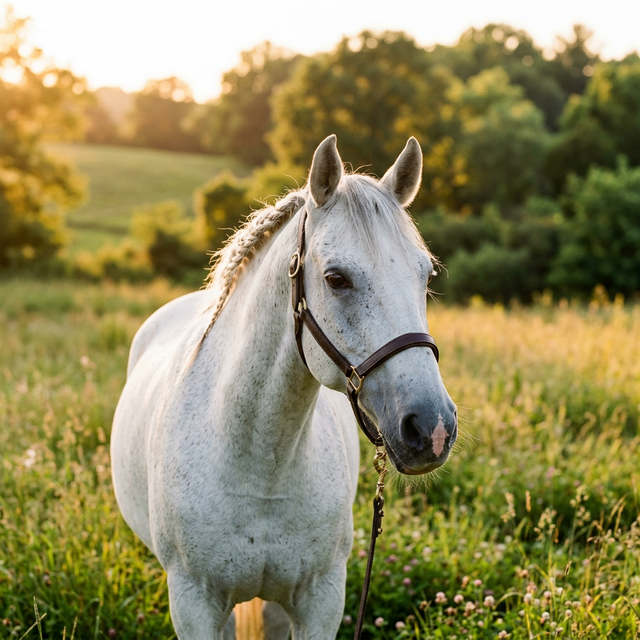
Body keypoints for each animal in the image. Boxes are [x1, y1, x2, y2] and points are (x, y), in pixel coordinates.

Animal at [110, 134, 458, 640]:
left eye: (425, 274)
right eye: (336, 279)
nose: (432, 428)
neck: (261, 465)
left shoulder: (321, 600)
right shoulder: (194, 604)